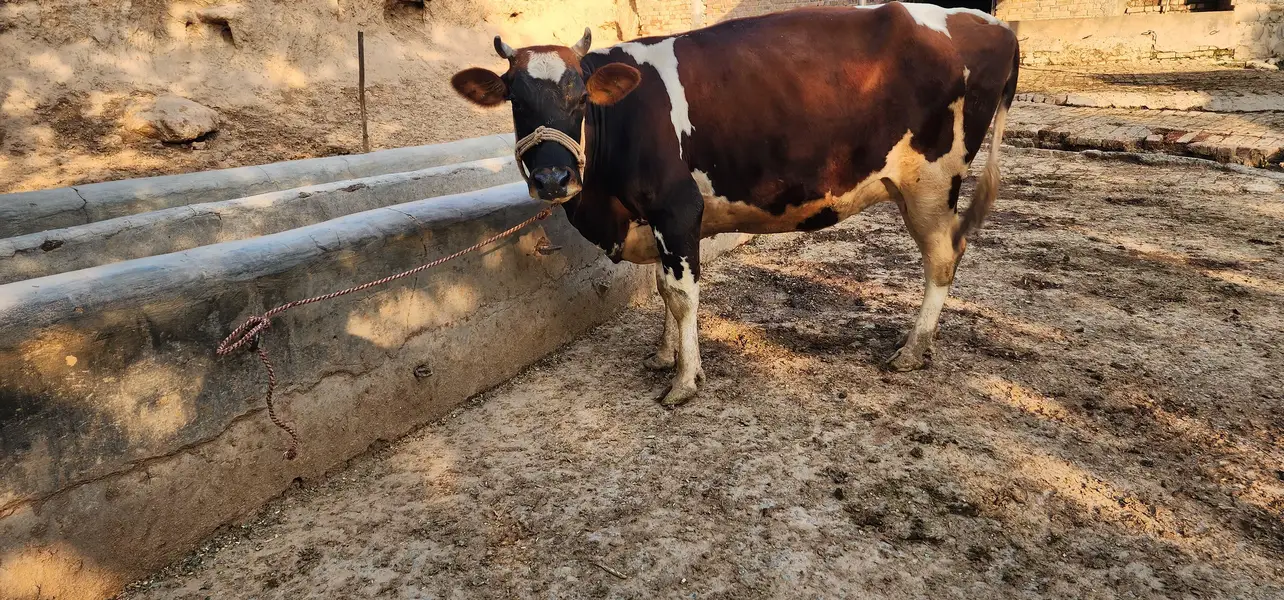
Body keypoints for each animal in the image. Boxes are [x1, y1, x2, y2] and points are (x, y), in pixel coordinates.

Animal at [451, 2, 1019, 406]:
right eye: (516, 101)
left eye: (580, 99)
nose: (552, 178)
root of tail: (995, 25)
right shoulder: (656, 220)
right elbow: (662, 288)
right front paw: (663, 355)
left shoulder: (677, 208)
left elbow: (682, 296)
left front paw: (685, 380)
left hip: (932, 181)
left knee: (942, 259)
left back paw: (912, 349)